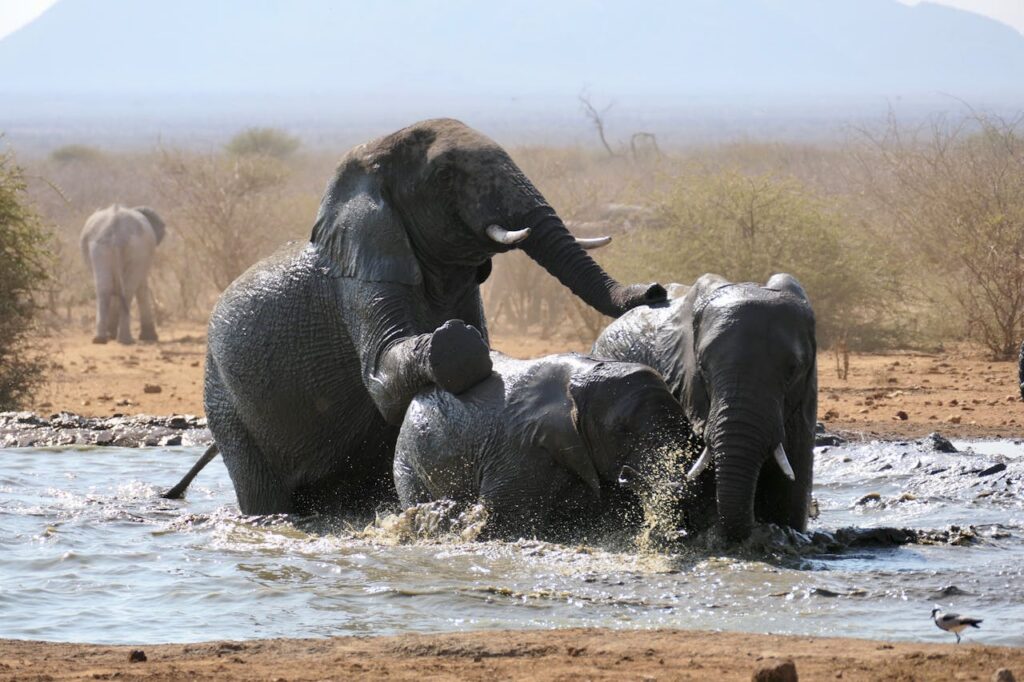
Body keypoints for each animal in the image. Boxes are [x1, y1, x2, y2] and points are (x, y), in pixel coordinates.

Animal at [80, 204, 166, 344]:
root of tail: (115, 226)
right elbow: (141, 287)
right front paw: (150, 337)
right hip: (134, 248)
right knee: (126, 290)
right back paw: (122, 339)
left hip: (100, 248)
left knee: (105, 288)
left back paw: (102, 339)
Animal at [190, 119, 665, 516]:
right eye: (445, 177)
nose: (656, 291)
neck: (370, 160)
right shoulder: (360, 274)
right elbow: (383, 379)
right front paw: (459, 341)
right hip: (225, 401)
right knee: (259, 485)